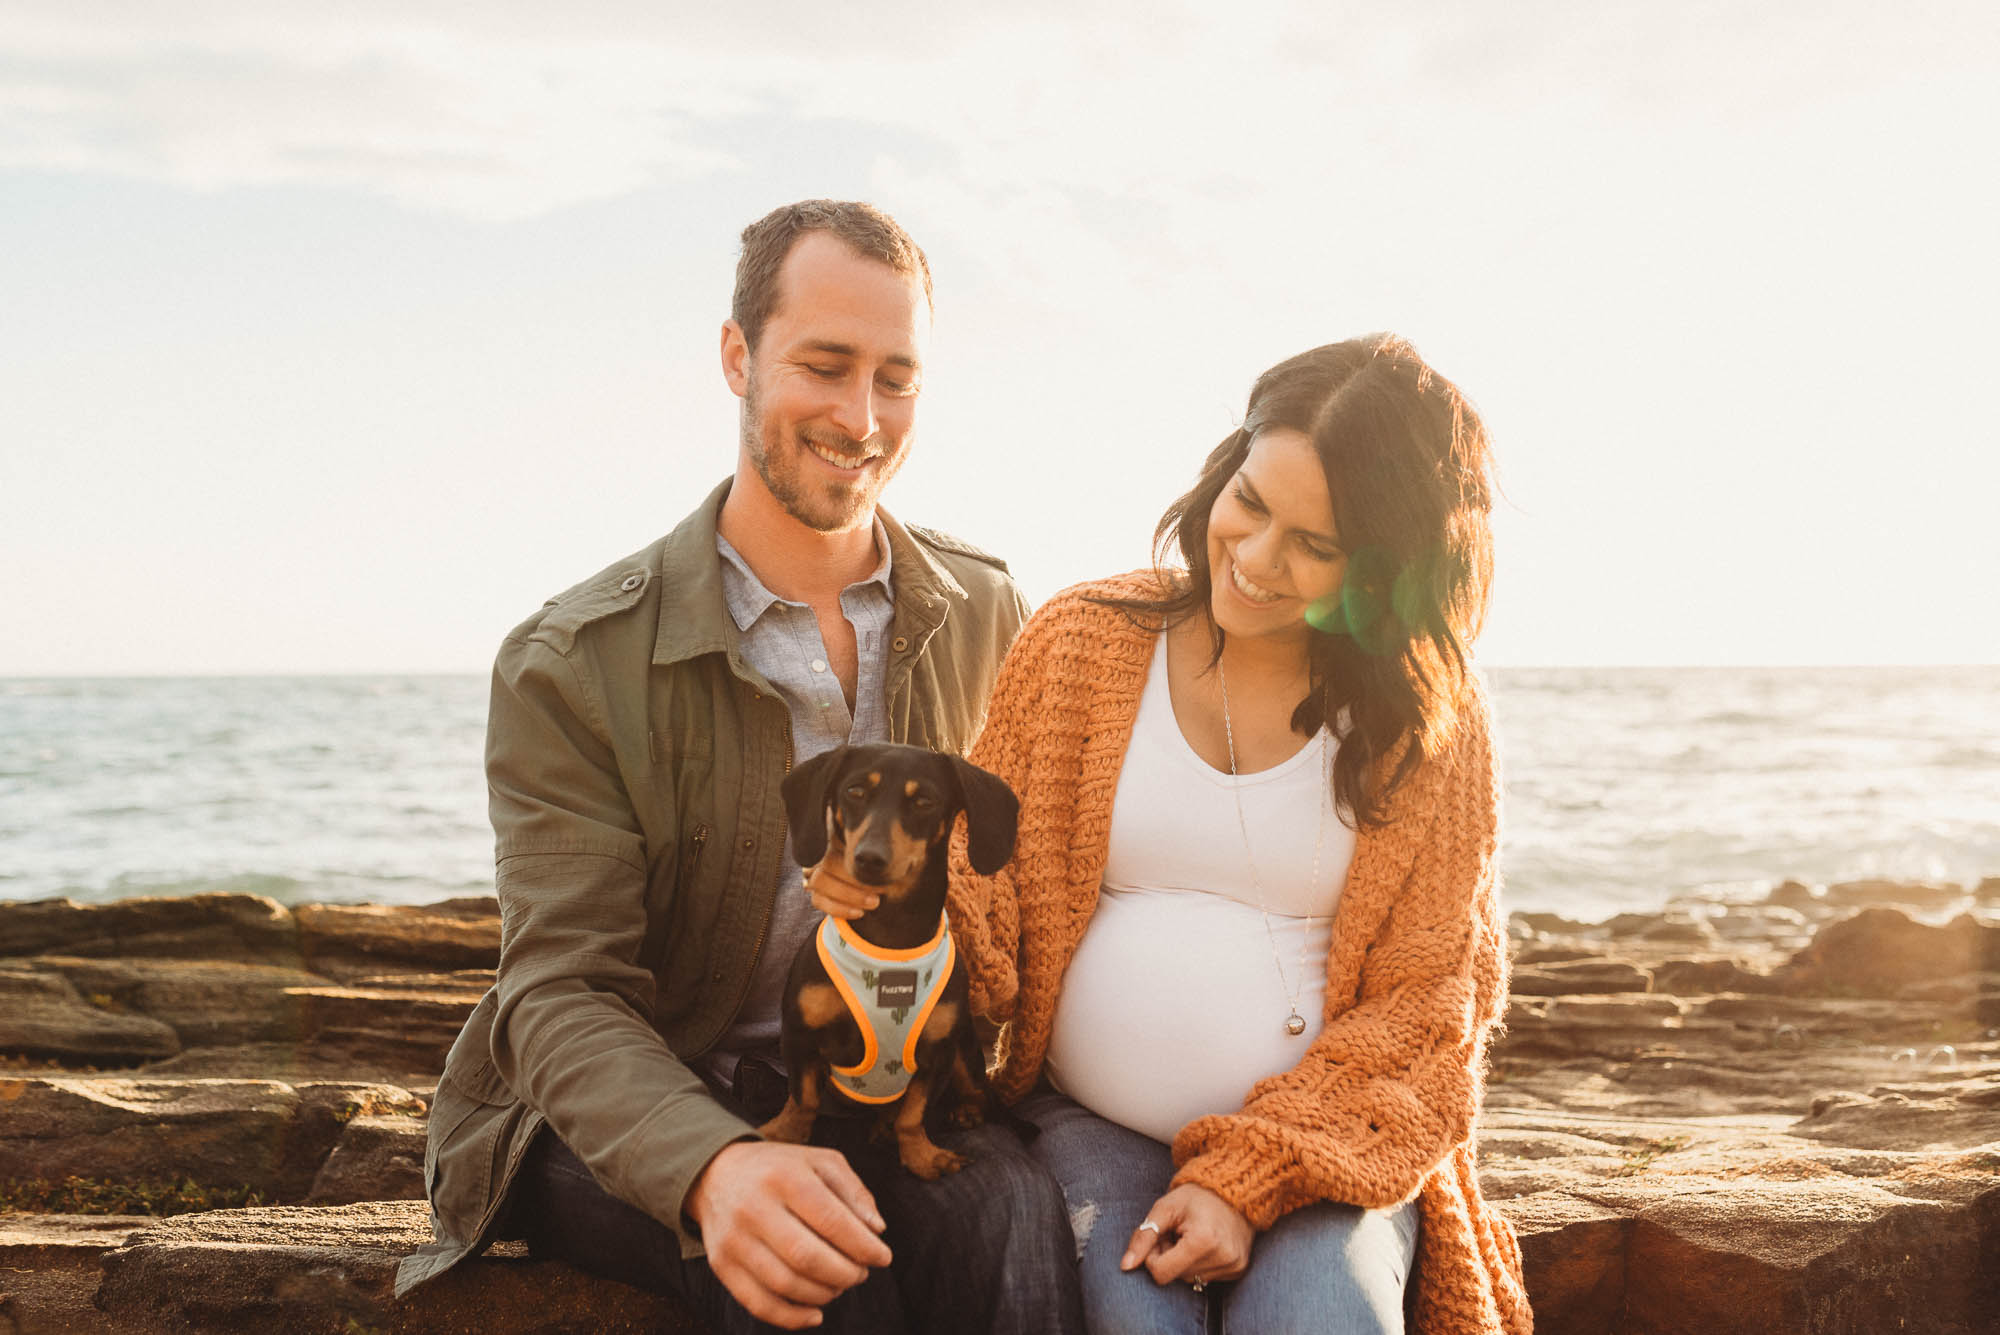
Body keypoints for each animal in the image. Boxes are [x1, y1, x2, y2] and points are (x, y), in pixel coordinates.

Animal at [760, 739, 1024, 1175]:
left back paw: (964, 1111)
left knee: (976, 1091)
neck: (890, 942)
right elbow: (803, 1099)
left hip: (965, 1051)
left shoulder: (937, 1054)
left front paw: (921, 1155)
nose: (870, 858)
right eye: (854, 791)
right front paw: (785, 1136)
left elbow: (912, 1114)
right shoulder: (800, 1035)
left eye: (925, 801)